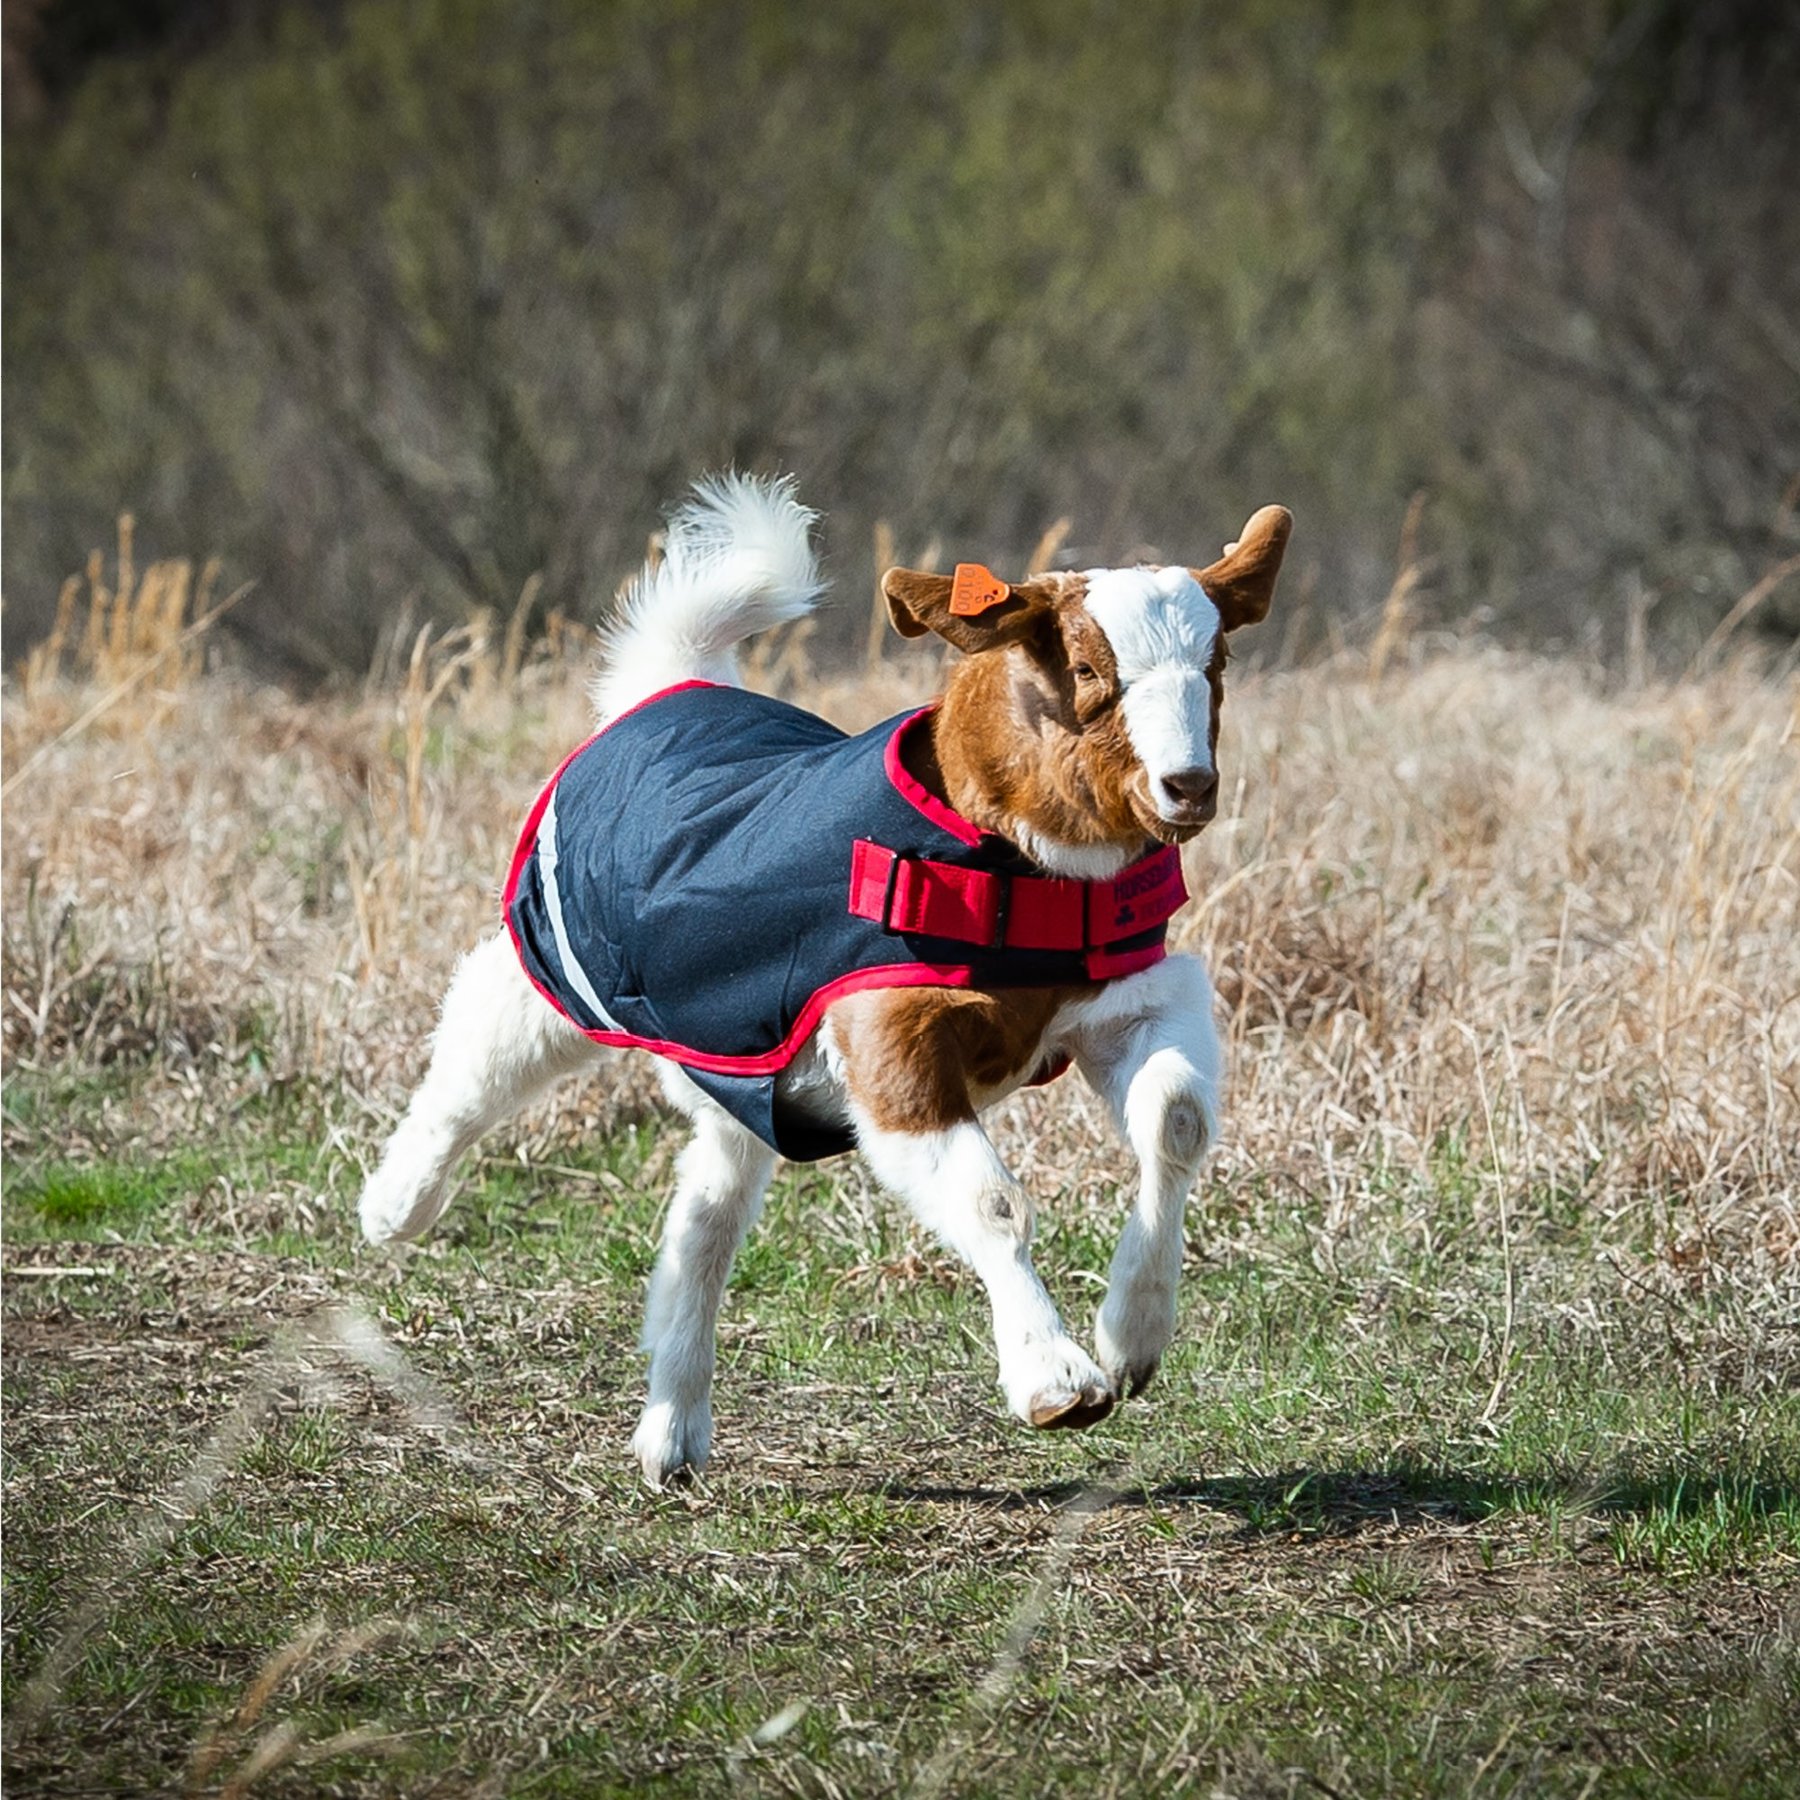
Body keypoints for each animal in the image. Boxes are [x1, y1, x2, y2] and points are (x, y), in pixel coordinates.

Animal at [359, 476, 1290, 1487]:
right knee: (472, 1066)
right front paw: (1054, 1379)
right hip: (554, 960)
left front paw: (1131, 1339)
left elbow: (1175, 1118)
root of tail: (670, 684)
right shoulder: (889, 1042)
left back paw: (673, 1428)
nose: (1187, 785)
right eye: (1086, 667)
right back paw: (395, 1207)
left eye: (1217, 662)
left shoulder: (1130, 996)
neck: (1011, 862)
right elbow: (991, 1201)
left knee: (706, 1210)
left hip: (739, 1066)